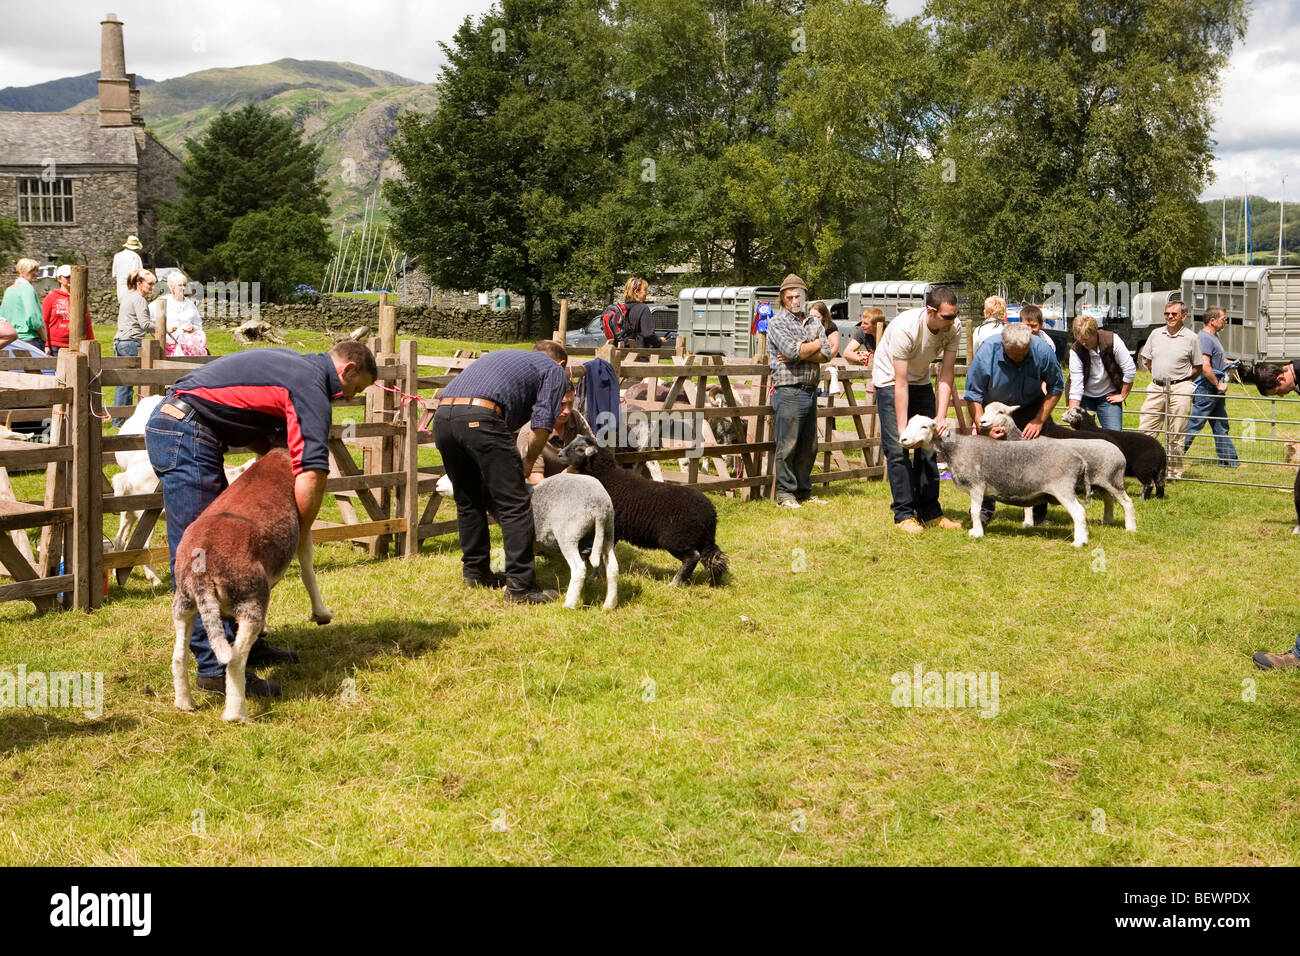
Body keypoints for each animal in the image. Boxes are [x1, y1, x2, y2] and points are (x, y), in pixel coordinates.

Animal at [553, 437, 728, 587]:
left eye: (580, 448)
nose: (559, 454)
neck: (606, 476)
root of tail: (710, 513)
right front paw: (599, 576)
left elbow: (600, 555)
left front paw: (595, 577)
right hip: (702, 539)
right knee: (715, 558)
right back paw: (711, 580)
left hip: (676, 539)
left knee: (693, 557)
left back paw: (675, 583)